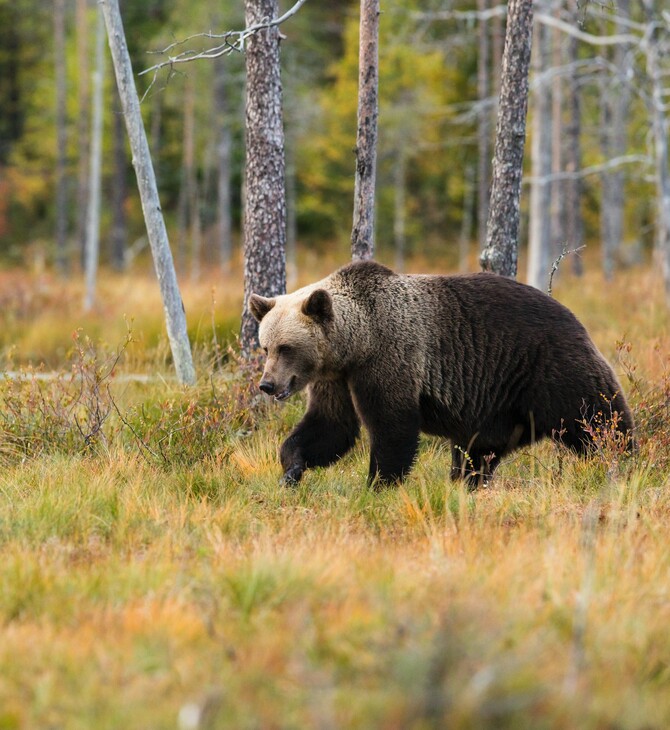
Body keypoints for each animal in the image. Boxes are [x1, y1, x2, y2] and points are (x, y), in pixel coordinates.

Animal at [251, 258, 636, 486]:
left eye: (286, 347)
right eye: (266, 346)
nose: (267, 384)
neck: (357, 343)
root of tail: (573, 315)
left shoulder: (391, 357)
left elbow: (392, 426)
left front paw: (378, 484)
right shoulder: (336, 378)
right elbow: (330, 426)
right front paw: (291, 469)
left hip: (550, 367)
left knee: (598, 418)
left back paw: (624, 461)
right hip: (498, 404)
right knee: (478, 451)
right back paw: (467, 482)